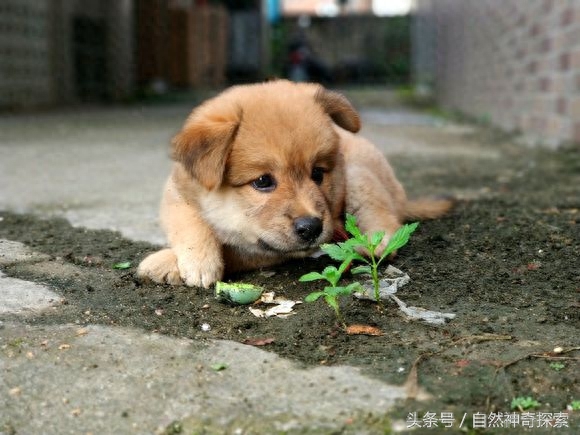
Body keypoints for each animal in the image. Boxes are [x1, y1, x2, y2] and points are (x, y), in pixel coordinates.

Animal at [137, 81, 454, 290]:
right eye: (263, 181)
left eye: (318, 173)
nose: (311, 228)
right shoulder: (175, 194)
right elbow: (188, 221)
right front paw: (195, 260)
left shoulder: (264, 250)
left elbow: (233, 249)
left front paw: (167, 262)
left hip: (361, 178)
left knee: (385, 226)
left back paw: (365, 245)